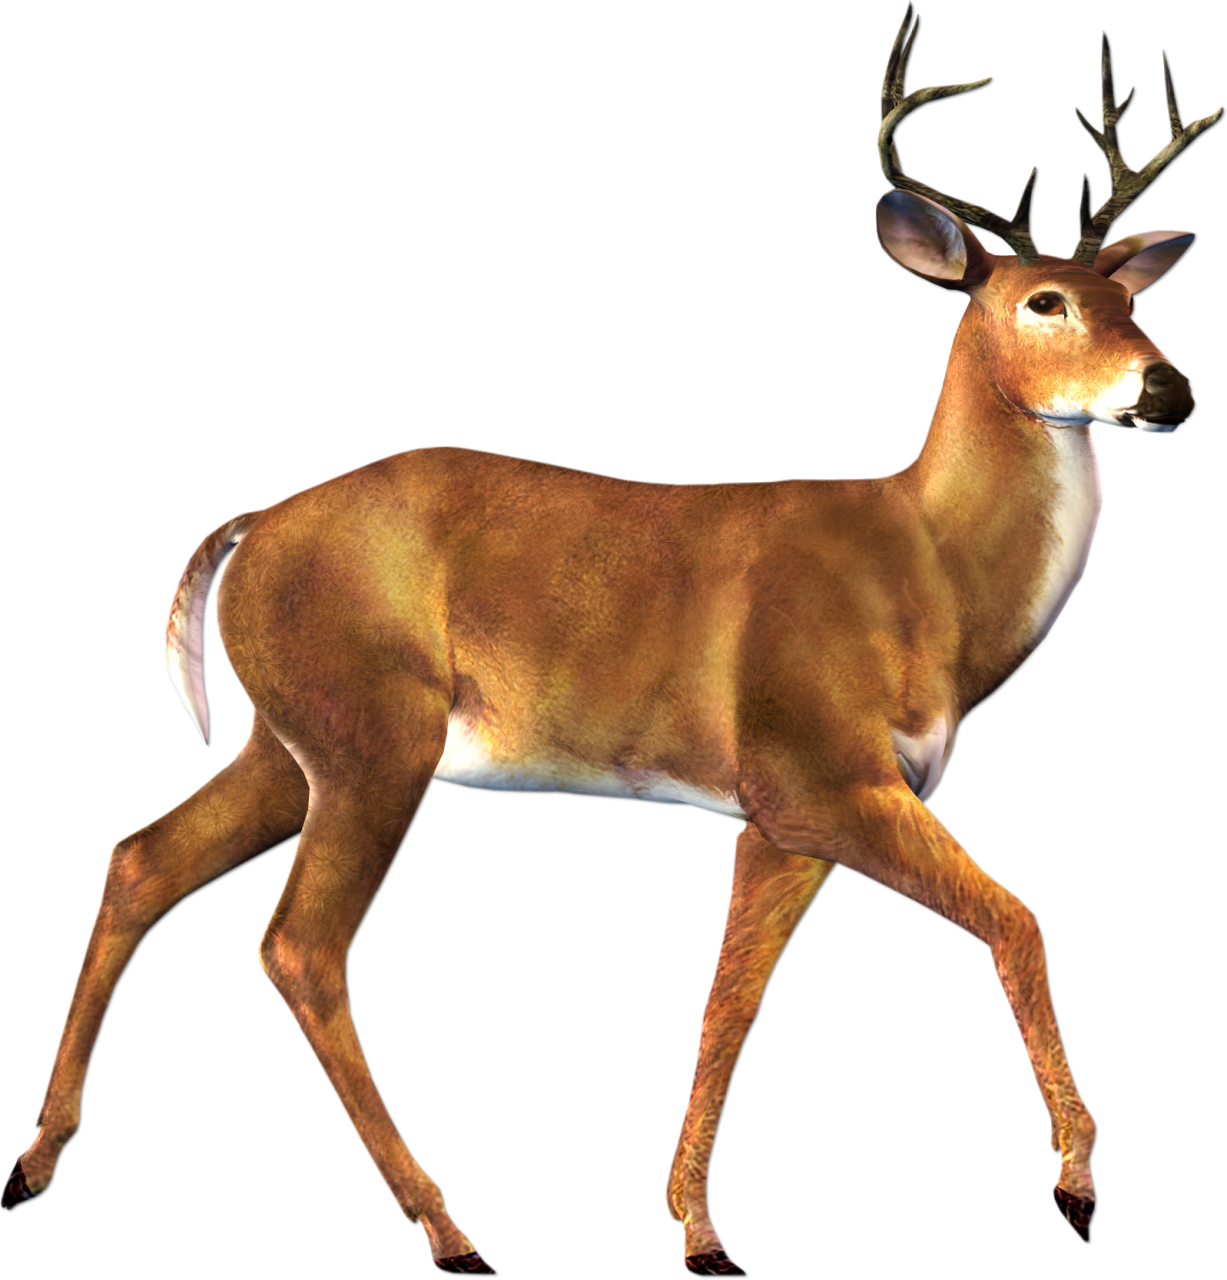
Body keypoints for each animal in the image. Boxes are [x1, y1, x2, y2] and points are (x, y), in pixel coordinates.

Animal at [3, 4, 1220, 1271]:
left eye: (1131, 298)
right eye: (1044, 301)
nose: (1169, 390)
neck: (924, 567)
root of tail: (247, 524)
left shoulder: (782, 819)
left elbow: (727, 1000)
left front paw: (696, 1224)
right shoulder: (817, 769)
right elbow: (1015, 919)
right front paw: (1077, 1177)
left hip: (286, 733)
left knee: (140, 857)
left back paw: (33, 1161)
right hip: (369, 734)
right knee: (299, 942)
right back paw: (448, 1224)